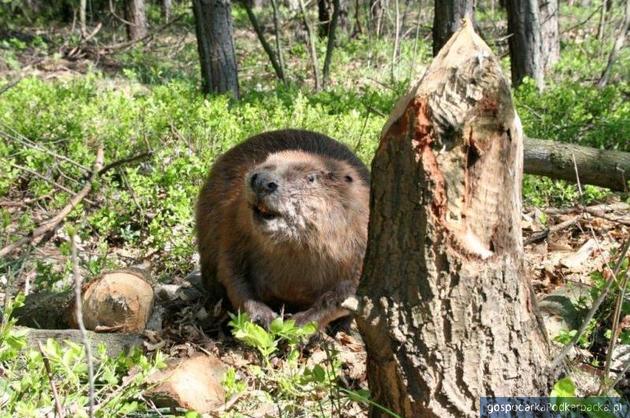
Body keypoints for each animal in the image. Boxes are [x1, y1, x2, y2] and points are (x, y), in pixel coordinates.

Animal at [196, 129, 370, 328]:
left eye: (311, 178)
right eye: (266, 160)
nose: (262, 181)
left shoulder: (360, 244)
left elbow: (347, 294)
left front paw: (298, 324)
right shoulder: (232, 225)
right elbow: (231, 272)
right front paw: (265, 317)